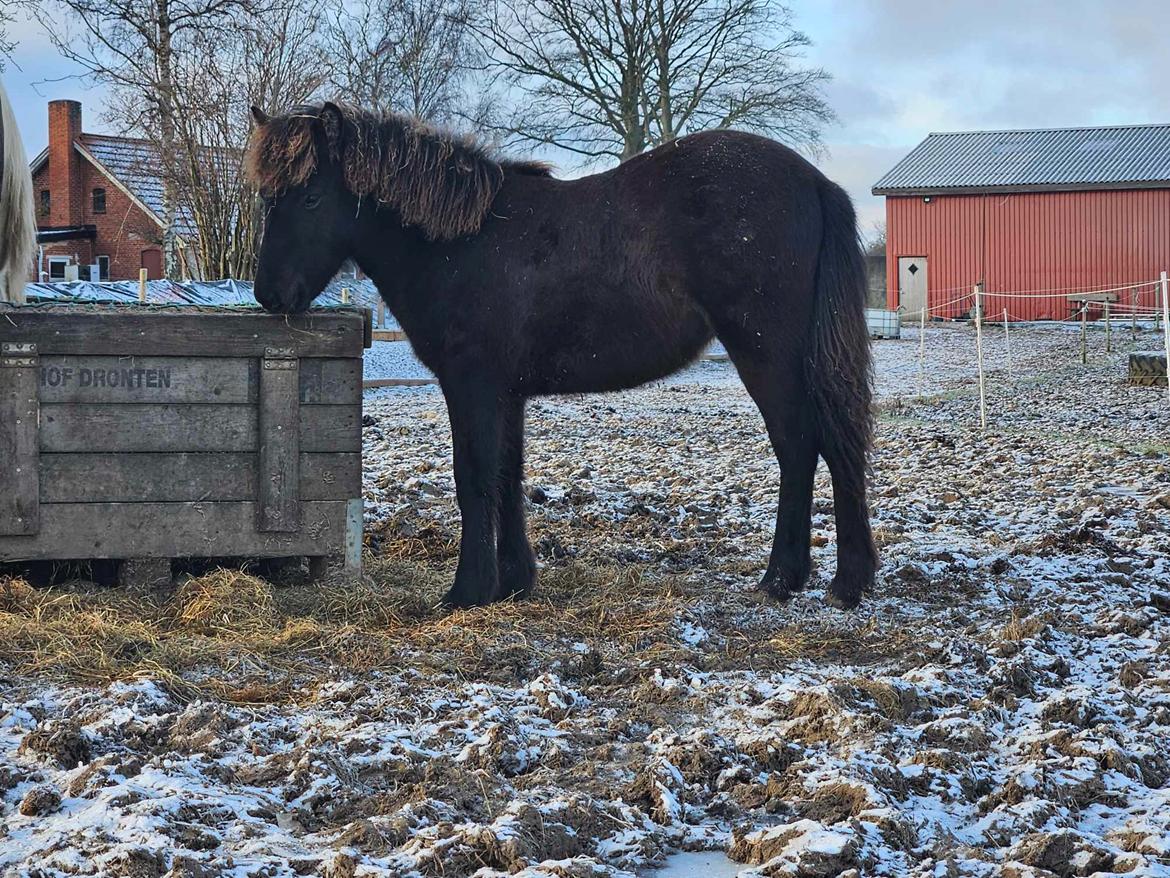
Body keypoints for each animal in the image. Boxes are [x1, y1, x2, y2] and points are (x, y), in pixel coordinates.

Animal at [249, 103, 879, 608]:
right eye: (266, 199)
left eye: (311, 197)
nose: (270, 296)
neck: (462, 243)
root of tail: (816, 183)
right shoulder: (507, 392)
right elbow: (508, 474)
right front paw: (512, 582)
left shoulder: (472, 384)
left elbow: (473, 475)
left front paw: (466, 591)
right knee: (823, 446)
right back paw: (822, 579)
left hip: (767, 353)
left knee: (802, 445)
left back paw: (806, 580)